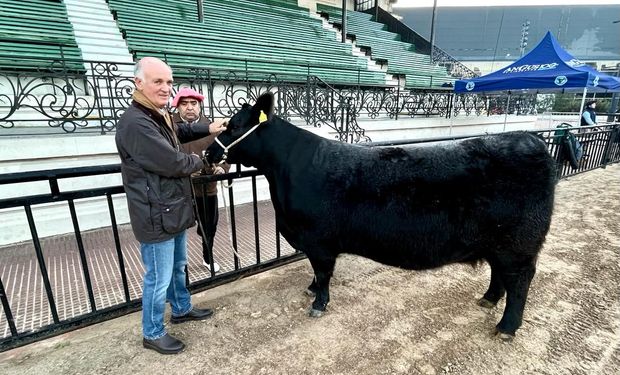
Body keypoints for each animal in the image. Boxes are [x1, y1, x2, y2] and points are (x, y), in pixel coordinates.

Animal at [208, 92, 556, 340]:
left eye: (233, 125)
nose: (210, 153)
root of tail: (530, 138)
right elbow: (316, 273)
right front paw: (310, 289)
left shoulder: (319, 242)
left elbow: (323, 273)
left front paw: (318, 303)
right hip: (497, 243)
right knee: (499, 274)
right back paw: (487, 300)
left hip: (518, 245)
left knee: (520, 281)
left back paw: (506, 328)